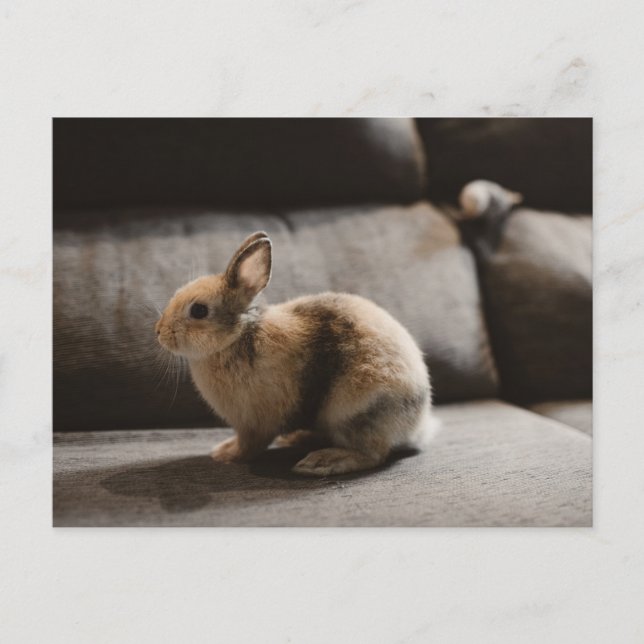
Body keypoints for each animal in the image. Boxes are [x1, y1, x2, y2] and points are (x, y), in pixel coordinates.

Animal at [155, 231, 440, 476]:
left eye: (199, 311)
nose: (159, 332)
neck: (238, 337)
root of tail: (419, 424)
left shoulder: (255, 423)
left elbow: (249, 445)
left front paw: (225, 454)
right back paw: (299, 438)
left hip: (354, 412)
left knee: (373, 454)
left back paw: (321, 462)